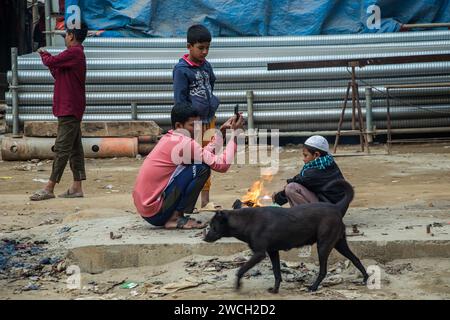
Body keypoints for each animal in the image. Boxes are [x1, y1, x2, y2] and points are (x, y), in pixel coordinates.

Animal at [204, 180, 370, 292]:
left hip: (323, 246)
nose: (204, 238)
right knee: (355, 259)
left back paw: (313, 287)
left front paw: (238, 285)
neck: (246, 221)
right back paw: (365, 279)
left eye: (213, 226)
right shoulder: (272, 252)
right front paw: (275, 290)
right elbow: (277, 272)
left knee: (323, 270)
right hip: (339, 243)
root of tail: (336, 207)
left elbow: (241, 269)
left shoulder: (259, 254)